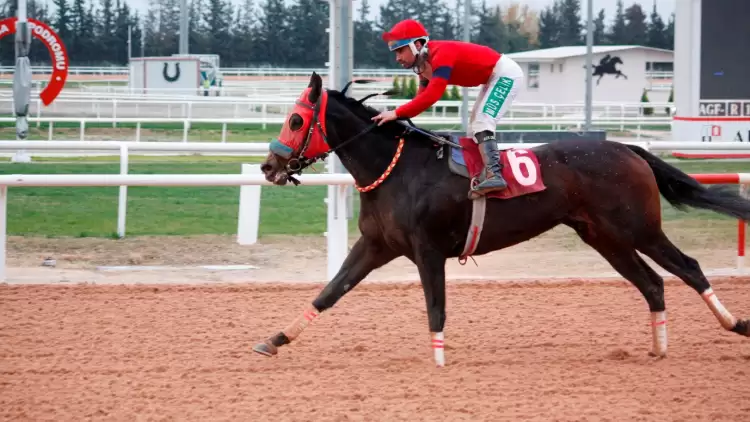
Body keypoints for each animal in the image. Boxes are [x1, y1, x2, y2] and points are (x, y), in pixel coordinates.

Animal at [254, 71, 750, 366]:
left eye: (295, 121)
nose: (269, 166)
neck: (397, 169)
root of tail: (628, 148)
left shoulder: (428, 250)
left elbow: (436, 306)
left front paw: (438, 362)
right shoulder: (377, 246)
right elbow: (329, 292)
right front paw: (274, 340)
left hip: (638, 228)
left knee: (688, 268)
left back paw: (736, 325)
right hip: (603, 236)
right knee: (653, 284)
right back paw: (658, 349)